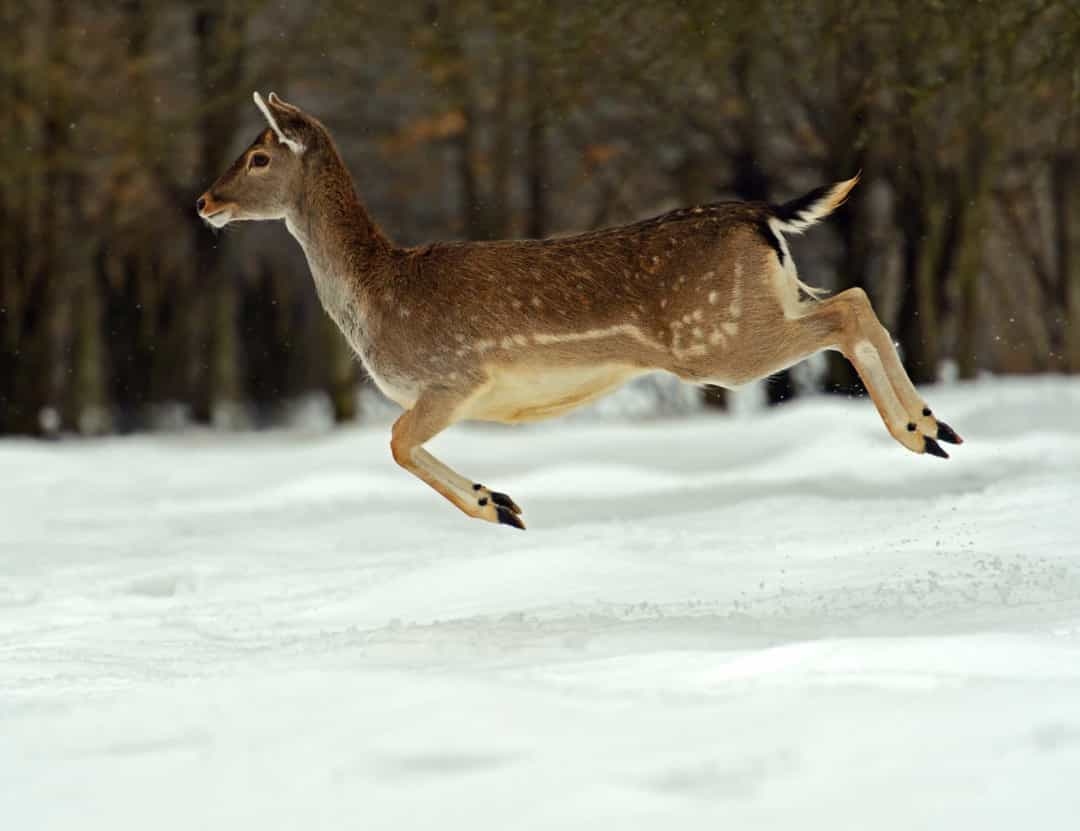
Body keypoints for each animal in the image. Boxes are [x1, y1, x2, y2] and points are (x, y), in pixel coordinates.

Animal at [198, 94, 967, 527]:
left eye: (259, 155)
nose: (206, 200)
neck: (376, 298)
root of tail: (762, 215)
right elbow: (396, 443)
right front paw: (502, 503)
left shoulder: (453, 377)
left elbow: (394, 440)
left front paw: (499, 506)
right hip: (768, 301)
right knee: (855, 297)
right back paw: (934, 428)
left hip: (713, 339)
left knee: (848, 312)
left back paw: (919, 430)